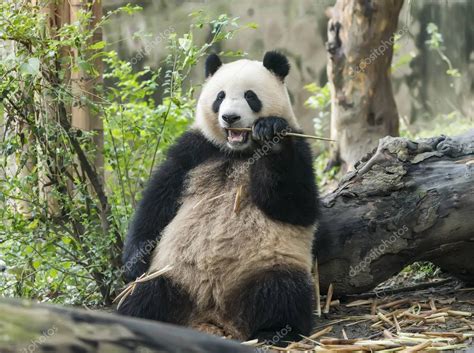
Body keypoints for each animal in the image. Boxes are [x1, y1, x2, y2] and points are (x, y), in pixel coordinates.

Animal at [118, 51, 318, 340]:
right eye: (220, 96)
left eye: (250, 96)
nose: (230, 117)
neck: (237, 152)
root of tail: (212, 315)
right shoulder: (195, 150)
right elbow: (157, 202)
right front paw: (133, 263)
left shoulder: (300, 146)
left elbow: (298, 206)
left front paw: (271, 134)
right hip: (174, 273)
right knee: (147, 293)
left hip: (266, 265)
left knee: (282, 291)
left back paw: (274, 330)